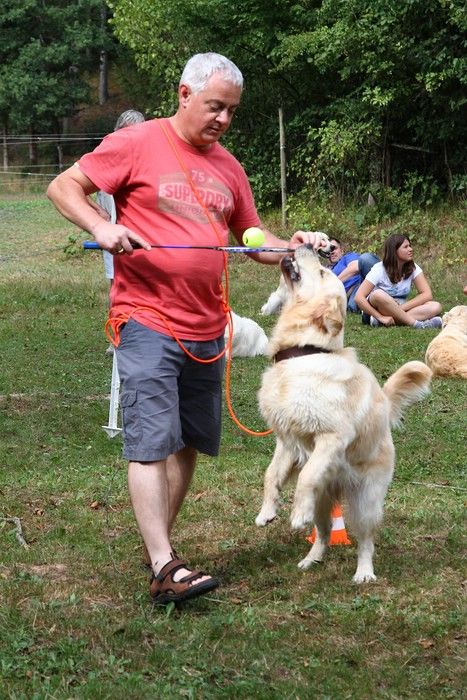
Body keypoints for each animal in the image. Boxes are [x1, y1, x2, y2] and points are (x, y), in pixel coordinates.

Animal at [255, 244, 432, 583]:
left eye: (323, 272)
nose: (306, 245)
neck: (304, 351)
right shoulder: (287, 439)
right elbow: (271, 474)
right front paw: (267, 511)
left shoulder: (332, 436)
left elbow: (307, 476)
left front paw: (296, 514)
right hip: (324, 502)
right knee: (324, 534)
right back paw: (311, 559)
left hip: (366, 501)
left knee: (365, 541)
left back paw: (363, 572)